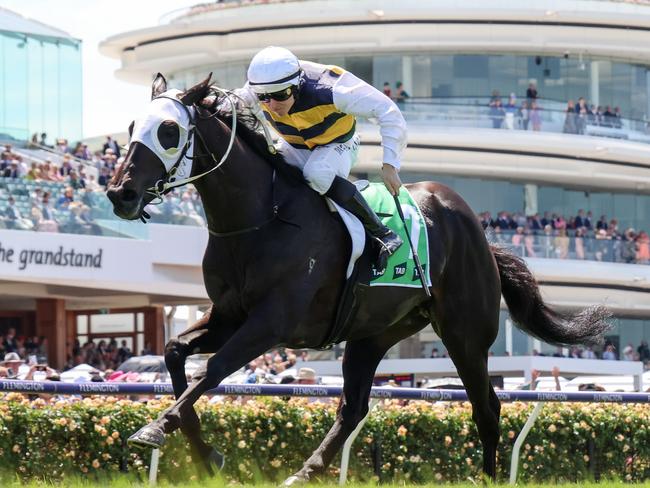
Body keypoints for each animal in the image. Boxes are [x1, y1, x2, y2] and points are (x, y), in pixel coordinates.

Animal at [106, 74, 608, 482]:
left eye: (168, 131)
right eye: (131, 128)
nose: (119, 193)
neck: (261, 218)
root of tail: (481, 235)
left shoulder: (271, 323)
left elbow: (211, 370)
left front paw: (157, 428)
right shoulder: (230, 314)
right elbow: (175, 353)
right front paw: (205, 454)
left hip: (466, 334)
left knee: (487, 407)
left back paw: (487, 477)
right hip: (374, 334)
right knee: (353, 408)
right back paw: (304, 472)